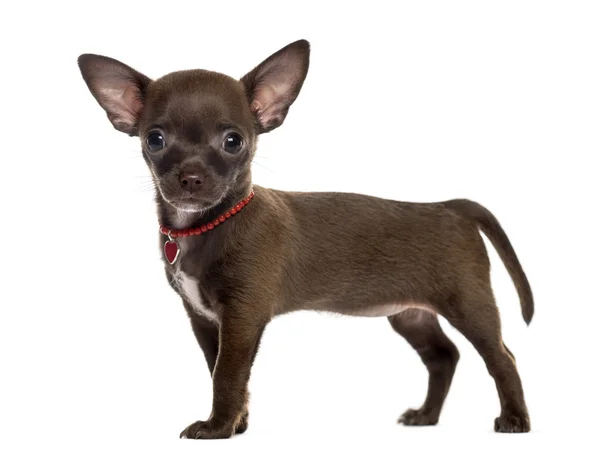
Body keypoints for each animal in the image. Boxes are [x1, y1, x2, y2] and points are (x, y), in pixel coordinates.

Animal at [77, 38, 532, 438]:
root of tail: (450, 206)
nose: (190, 178)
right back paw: (426, 416)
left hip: (469, 305)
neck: (205, 227)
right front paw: (237, 423)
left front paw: (217, 427)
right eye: (154, 140)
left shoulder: (242, 318)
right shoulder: (204, 320)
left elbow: (227, 375)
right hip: (410, 314)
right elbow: (222, 371)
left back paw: (514, 419)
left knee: (502, 357)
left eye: (233, 141)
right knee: (443, 357)